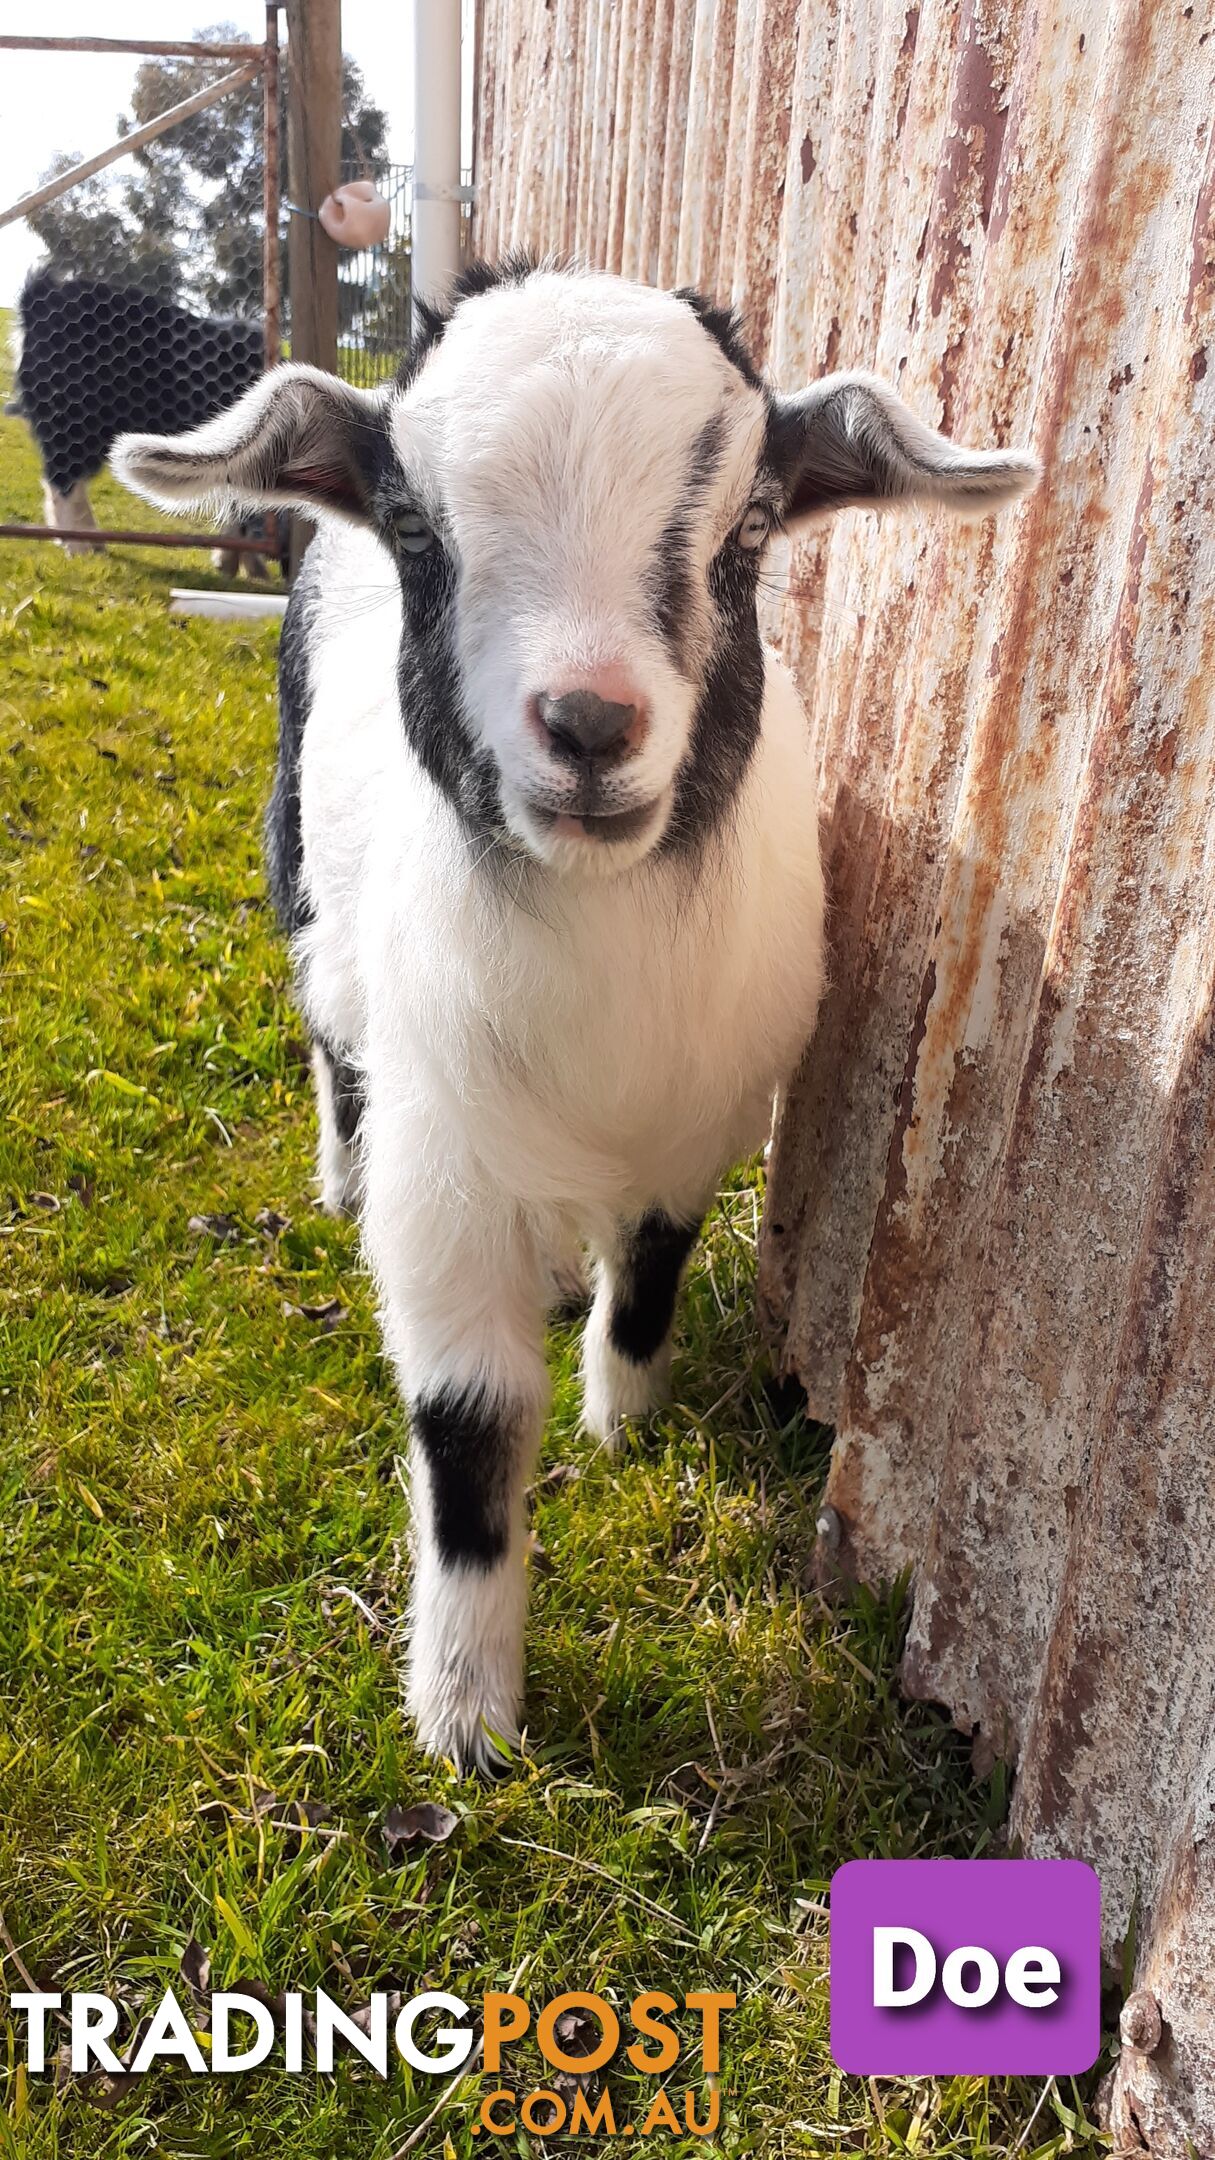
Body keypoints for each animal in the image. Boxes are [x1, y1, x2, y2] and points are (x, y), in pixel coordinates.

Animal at [113, 261, 1037, 1771]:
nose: (590, 727)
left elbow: (650, 1273)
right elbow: (470, 1422)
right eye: (416, 529)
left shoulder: (703, 1117)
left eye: (751, 530)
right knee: (329, 1030)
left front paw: (621, 1420)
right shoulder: (443, 1164)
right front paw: (466, 1719)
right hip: (303, 869)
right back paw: (334, 1172)